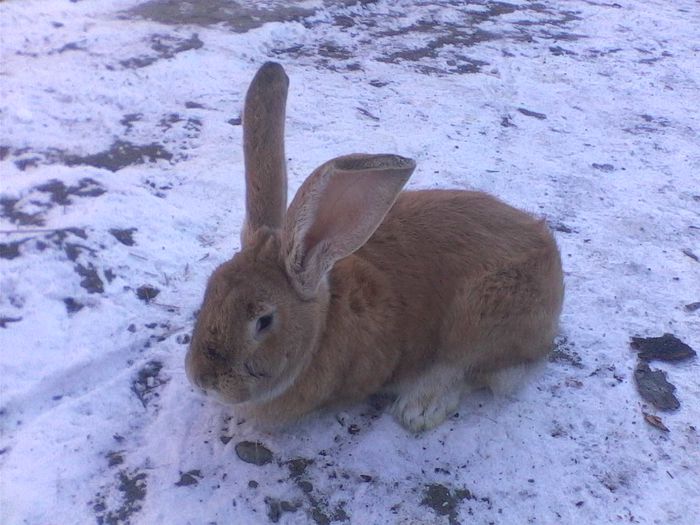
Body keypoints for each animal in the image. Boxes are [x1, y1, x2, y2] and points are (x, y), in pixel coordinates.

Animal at [185, 61, 564, 432]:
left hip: (483, 316)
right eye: (209, 291)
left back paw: (418, 408)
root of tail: (551, 255)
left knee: (470, 366)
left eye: (264, 321)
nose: (202, 380)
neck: (323, 326)